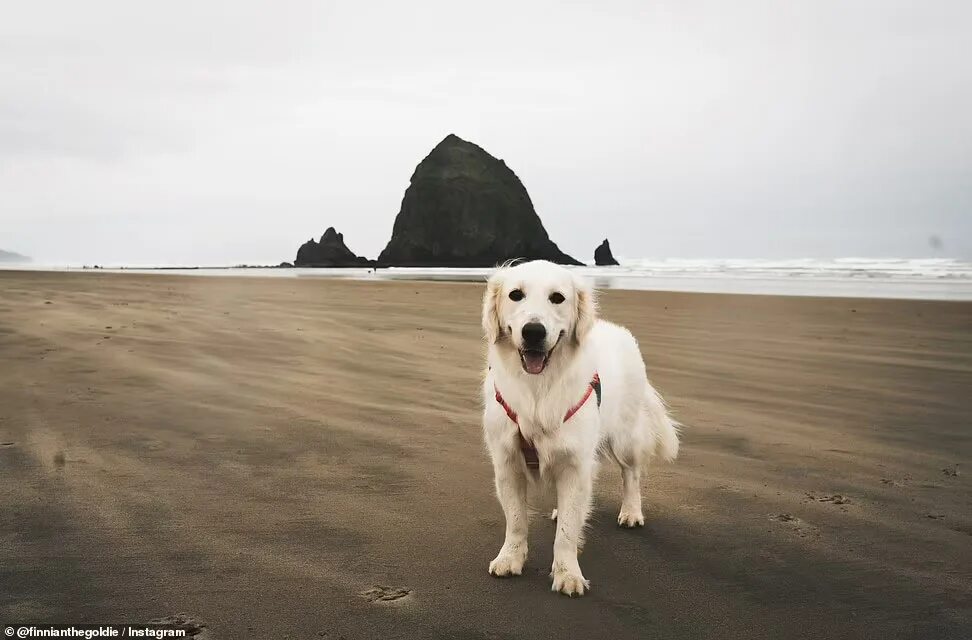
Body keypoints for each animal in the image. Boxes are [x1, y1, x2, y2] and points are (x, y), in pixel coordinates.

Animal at [478, 258, 676, 596]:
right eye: (516, 295)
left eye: (557, 298)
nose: (533, 331)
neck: (538, 388)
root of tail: (618, 330)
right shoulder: (507, 463)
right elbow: (516, 520)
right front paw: (510, 558)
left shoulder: (575, 463)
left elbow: (568, 531)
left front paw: (567, 573)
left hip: (624, 438)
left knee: (632, 474)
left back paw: (631, 512)